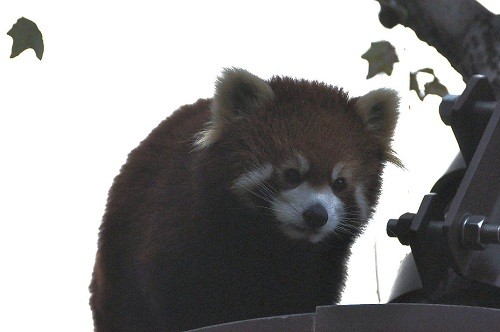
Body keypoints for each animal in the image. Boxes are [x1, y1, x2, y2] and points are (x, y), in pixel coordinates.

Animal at [90, 68, 400, 332]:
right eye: (291, 174)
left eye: (339, 184)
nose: (316, 215)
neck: (271, 244)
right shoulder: (178, 233)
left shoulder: (319, 270)